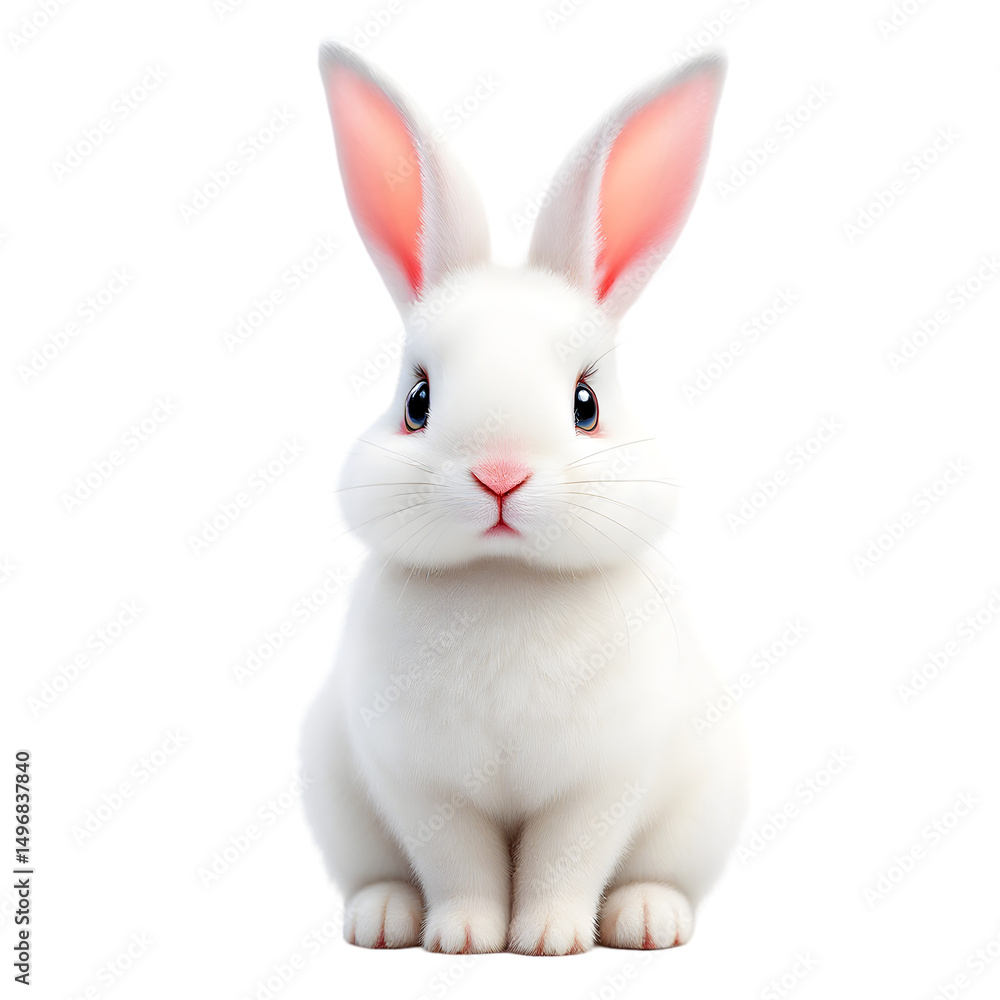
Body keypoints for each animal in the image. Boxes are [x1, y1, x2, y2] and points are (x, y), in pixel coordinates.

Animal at [301, 40, 748, 955]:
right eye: (417, 400)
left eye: (586, 403)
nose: (500, 476)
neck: (505, 583)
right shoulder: (425, 787)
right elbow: (459, 865)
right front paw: (465, 938)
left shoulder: (599, 785)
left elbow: (563, 861)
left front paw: (548, 940)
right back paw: (383, 917)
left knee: (658, 875)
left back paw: (647, 918)